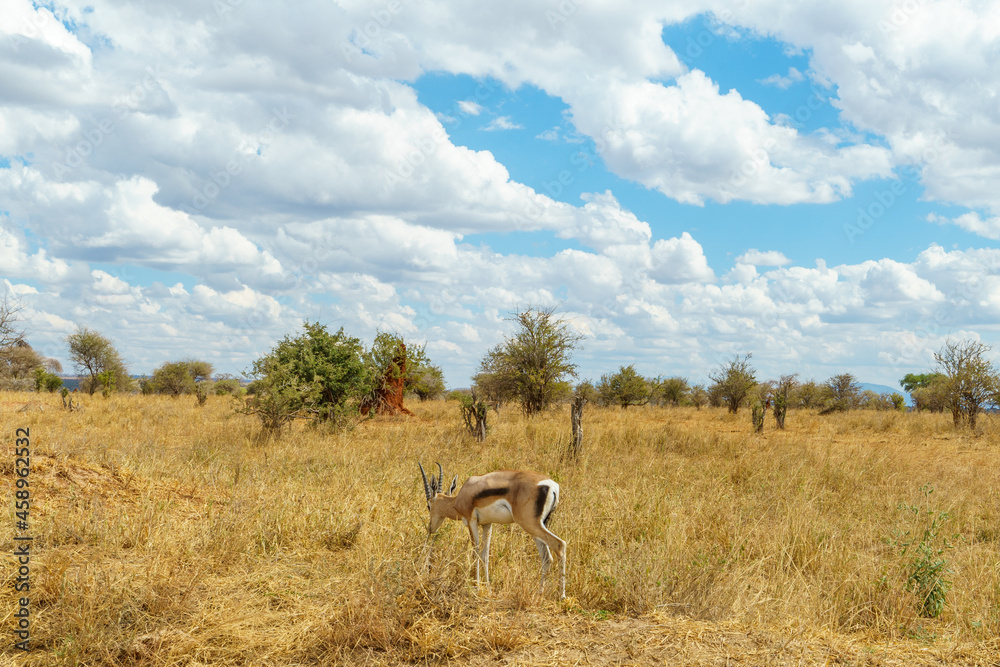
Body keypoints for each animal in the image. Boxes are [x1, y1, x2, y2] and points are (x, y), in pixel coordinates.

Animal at [419, 462, 566, 599]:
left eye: (428, 506)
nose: (430, 528)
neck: (462, 495)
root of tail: (552, 485)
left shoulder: (471, 521)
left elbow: (476, 552)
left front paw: (476, 587)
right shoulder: (487, 524)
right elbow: (485, 555)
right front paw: (488, 588)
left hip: (530, 524)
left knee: (560, 545)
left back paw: (561, 596)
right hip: (539, 527)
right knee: (546, 558)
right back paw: (539, 593)